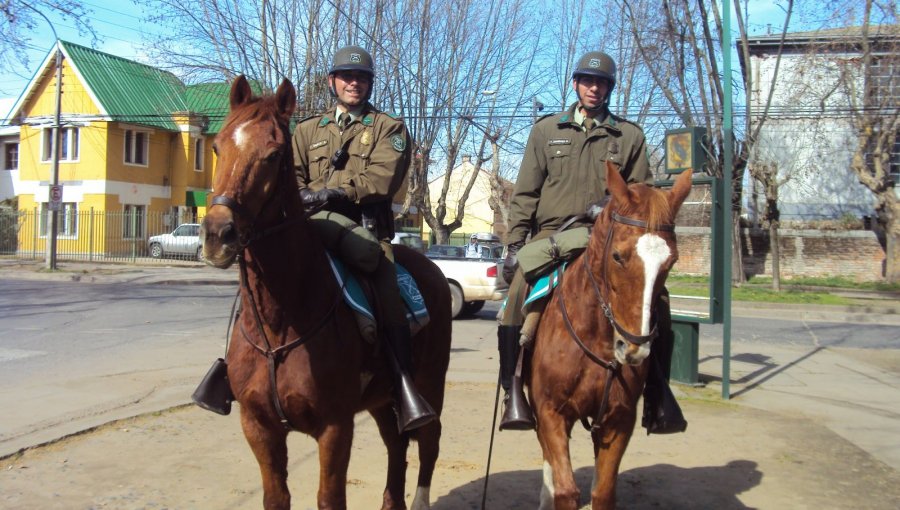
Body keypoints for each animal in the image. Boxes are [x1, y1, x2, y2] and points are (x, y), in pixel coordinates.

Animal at [198, 76, 450, 510]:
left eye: (274, 154)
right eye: (217, 147)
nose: (217, 234)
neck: (279, 323)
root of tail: (432, 268)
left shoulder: (335, 427)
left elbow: (330, 498)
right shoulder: (258, 426)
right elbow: (276, 497)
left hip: (430, 383)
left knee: (428, 445)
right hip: (382, 400)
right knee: (396, 445)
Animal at [528, 161, 688, 508]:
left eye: (671, 261)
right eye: (617, 256)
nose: (634, 348)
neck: (596, 338)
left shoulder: (619, 421)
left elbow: (602, 491)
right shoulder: (551, 412)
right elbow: (566, 489)